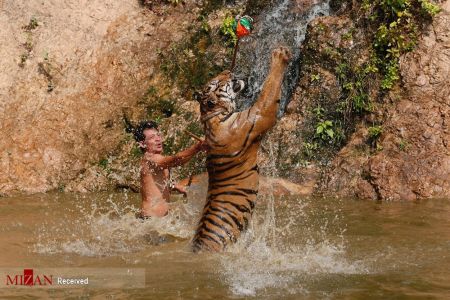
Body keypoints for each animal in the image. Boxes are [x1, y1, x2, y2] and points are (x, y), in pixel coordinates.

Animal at [192, 47, 294, 252]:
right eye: (217, 82)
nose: (227, 70)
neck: (213, 118)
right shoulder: (260, 114)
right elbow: (270, 90)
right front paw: (279, 56)